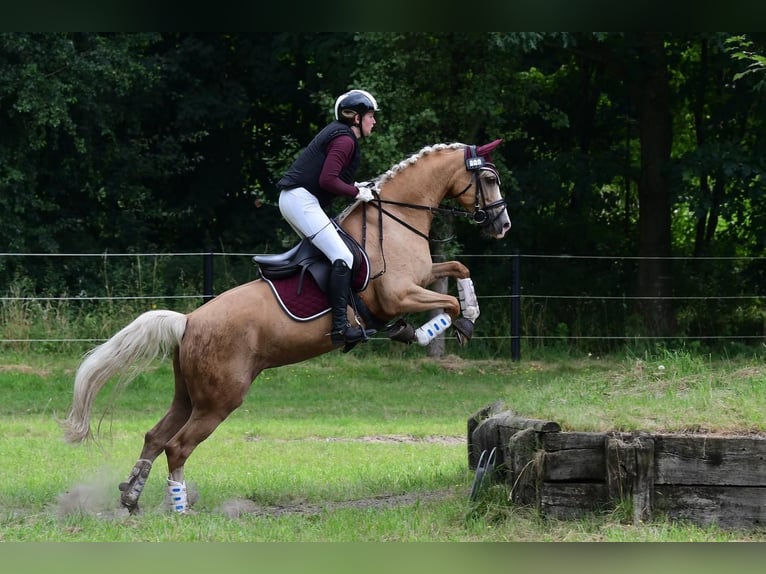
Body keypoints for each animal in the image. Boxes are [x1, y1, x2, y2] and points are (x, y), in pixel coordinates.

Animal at [63, 138, 512, 512]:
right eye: (489, 178)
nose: (502, 225)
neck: (397, 218)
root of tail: (188, 320)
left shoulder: (419, 279)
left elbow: (458, 268)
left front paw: (465, 312)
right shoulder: (398, 294)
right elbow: (446, 302)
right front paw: (441, 327)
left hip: (190, 395)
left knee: (155, 437)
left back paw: (132, 497)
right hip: (219, 400)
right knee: (177, 446)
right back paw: (179, 509)